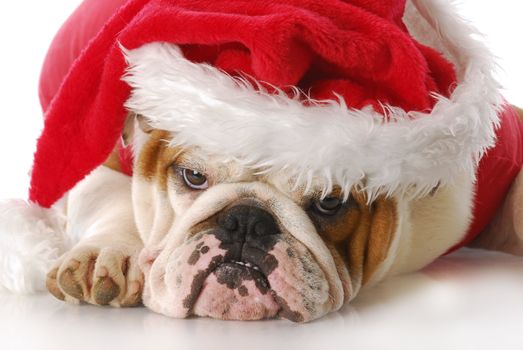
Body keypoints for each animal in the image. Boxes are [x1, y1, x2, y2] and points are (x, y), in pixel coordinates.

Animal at [1, 0, 523, 322]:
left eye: (330, 203)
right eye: (193, 176)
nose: (247, 221)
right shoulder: (105, 149)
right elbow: (108, 194)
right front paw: (107, 254)